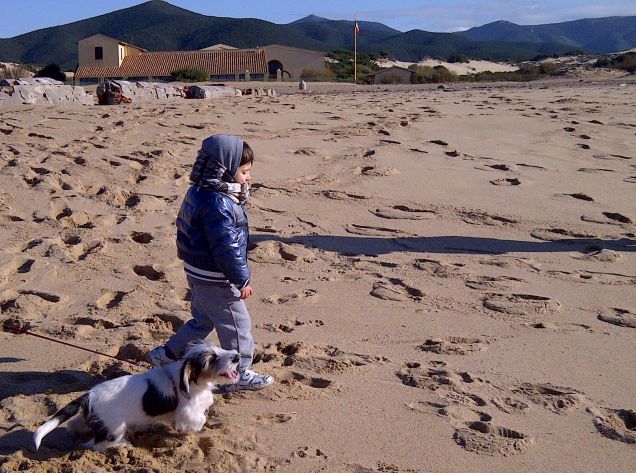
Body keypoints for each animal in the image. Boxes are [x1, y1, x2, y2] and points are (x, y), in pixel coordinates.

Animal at [31, 342, 238, 448]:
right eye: (212, 359)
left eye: (220, 349)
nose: (237, 357)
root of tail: (89, 395)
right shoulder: (188, 410)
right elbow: (200, 420)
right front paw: (191, 429)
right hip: (114, 429)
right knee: (96, 443)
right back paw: (121, 445)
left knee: (77, 424)